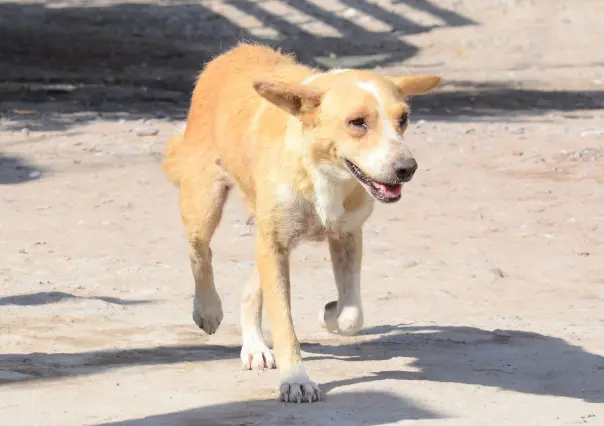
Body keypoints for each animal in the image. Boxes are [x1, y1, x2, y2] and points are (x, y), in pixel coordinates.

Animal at [163, 43, 442, 402]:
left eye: (403, 119)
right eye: (357, 122)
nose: (407, 168)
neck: (323, 171)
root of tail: (236, 50)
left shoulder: (345, 235)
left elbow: (352, 315)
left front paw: (330, 313)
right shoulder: (274, 243)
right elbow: (284, 325)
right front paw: (295, 379)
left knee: (250, 288)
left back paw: (254, 347)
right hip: (205, 202)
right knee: (199, 251)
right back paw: (208, 309)